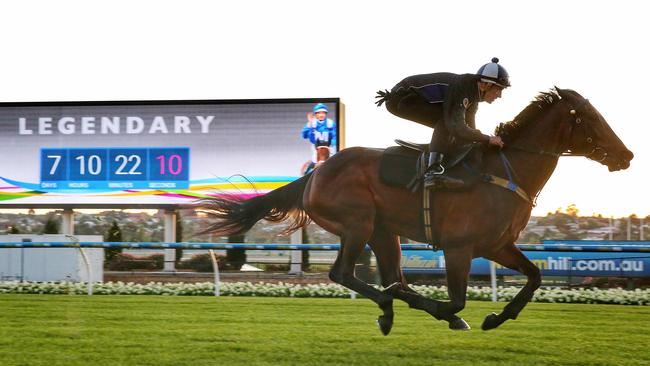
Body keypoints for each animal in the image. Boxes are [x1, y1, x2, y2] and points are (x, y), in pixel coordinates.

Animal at [200, 88, 632, 334]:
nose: (626, 155)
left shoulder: (497, 245)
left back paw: (393, 304)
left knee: (393, 277)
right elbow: (457, 300)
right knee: (346, 274)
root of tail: (315, 173)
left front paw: (496, 317)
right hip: (358, 223)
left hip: (383, 231)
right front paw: (453, 313)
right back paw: (390, 308)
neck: (504, 172)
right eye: (591, 119)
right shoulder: (459, 247)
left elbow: (535, 276)